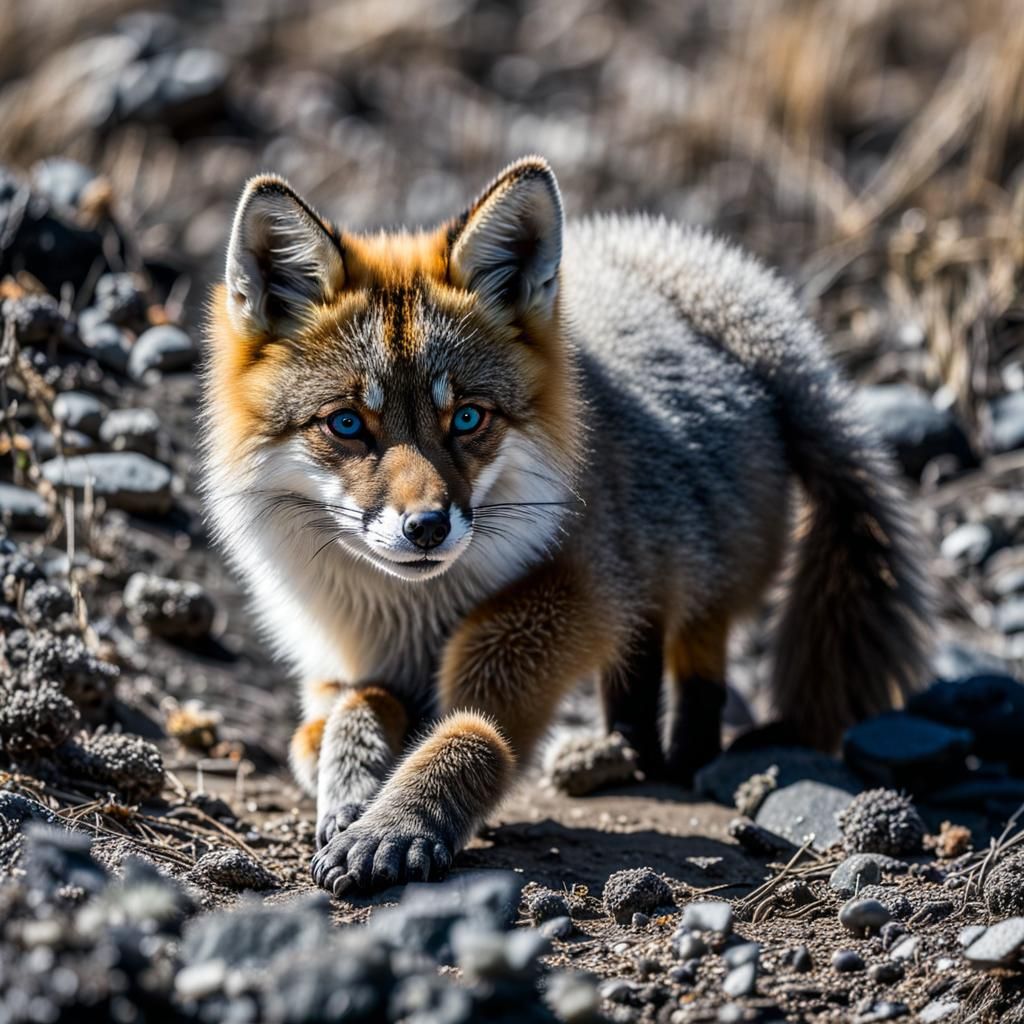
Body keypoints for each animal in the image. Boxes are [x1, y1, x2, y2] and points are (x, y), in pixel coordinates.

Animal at [201, 156, 931, 896]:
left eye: (468, 418)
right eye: (348, 424)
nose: (428, 527)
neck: (412, 619)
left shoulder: (580, 590)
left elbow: (476, 729)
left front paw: (400, 817)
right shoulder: (344, 667)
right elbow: (343, 718)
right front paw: (350, 787)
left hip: (687, 574)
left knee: (693, 665)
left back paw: (677, 759)